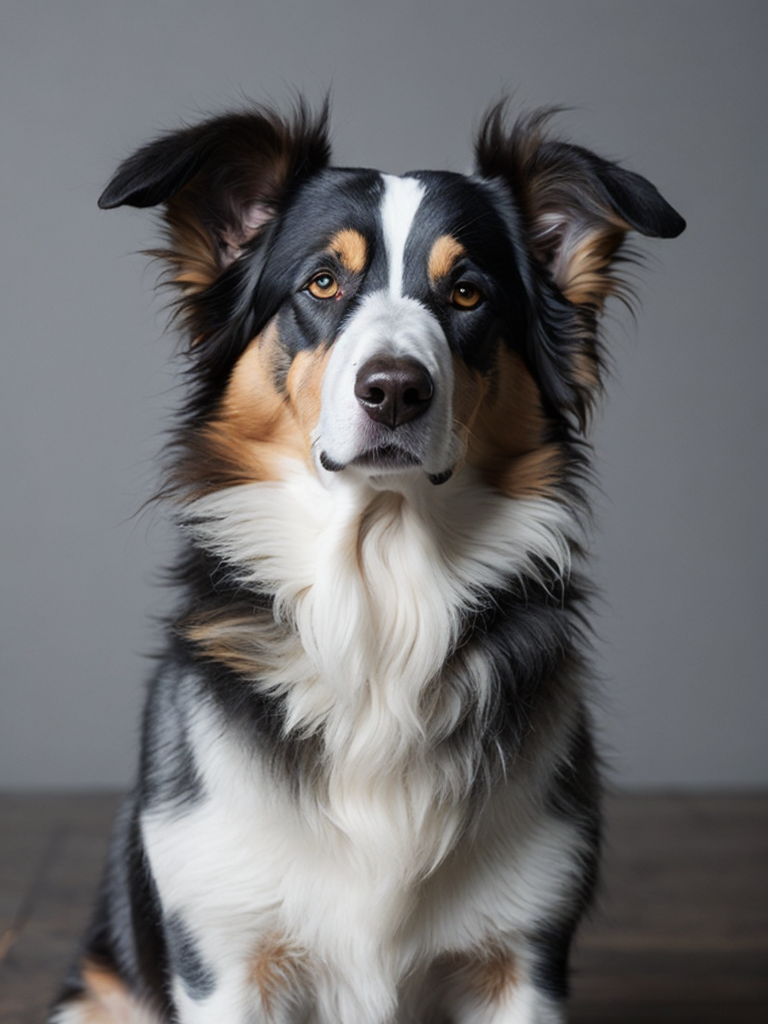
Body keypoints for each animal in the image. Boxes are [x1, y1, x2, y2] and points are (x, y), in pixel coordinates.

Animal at [48, 97, 684, 1024]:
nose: (393, 389)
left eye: (468, 293)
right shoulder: (225, 950)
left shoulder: (523, 952)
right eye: (322, 283)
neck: (379, 594)